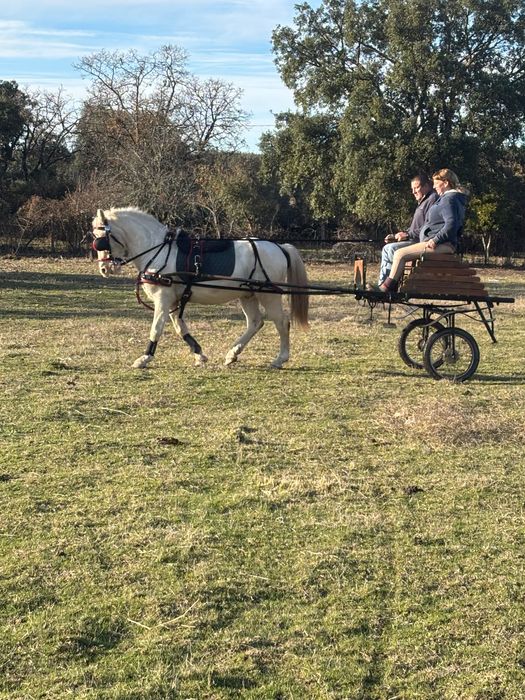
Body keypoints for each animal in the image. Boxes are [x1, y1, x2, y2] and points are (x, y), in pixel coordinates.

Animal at [91, 207, 309, 369]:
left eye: (100, 239)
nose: (104, 269)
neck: (157, 249)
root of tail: (280, 247)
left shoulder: (163, 299)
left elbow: (156, 328)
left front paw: (144, 358)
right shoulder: (174, 300)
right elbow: (180, 328)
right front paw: (199, 354)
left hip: (268, 296)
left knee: (281, 322)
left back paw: (280, 359)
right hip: (247, 294)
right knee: (255, 322)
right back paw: (232, 354)